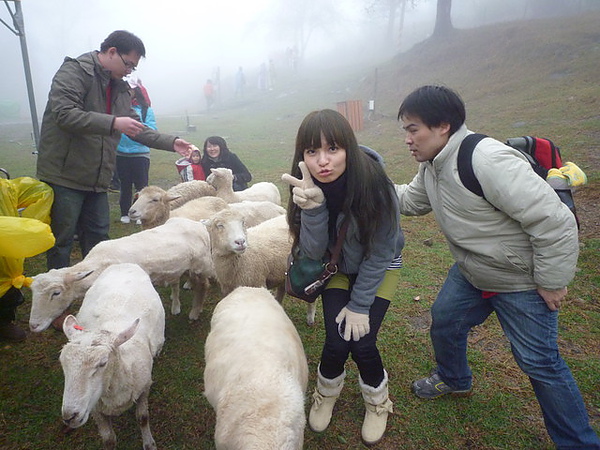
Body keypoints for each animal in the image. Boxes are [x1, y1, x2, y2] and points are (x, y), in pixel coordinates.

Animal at [30, 216, 214, 332]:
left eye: (56, 293)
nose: (33, 326)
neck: (99, 262)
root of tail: (199, 224)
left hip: (201, 264)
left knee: (204, 286)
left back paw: (195, 312)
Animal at [60, 264, 165, 450]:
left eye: (103, 363)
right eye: (63, 364)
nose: (69, 416)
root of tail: (124, 264)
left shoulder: (144, 388)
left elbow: (143, 418)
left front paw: (149, 443)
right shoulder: (95, 408)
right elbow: (108, 439)